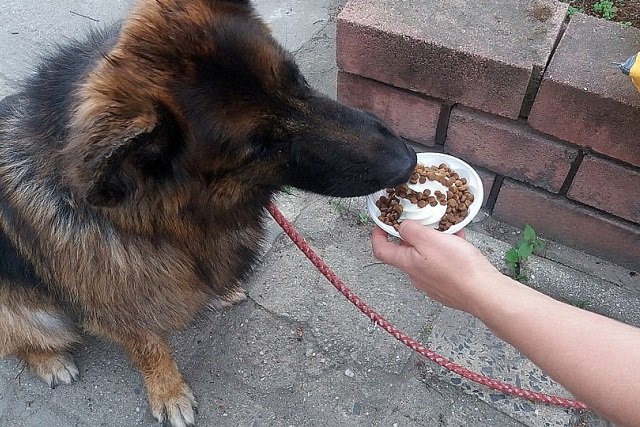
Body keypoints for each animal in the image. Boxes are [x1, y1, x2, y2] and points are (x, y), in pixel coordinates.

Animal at [0, 1, 416, 426]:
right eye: (262, 147)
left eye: (297, 80)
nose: (407, 160)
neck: (163, 212)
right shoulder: (115, 301)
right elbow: (147, 344)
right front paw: (168, 391)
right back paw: (49, 360)